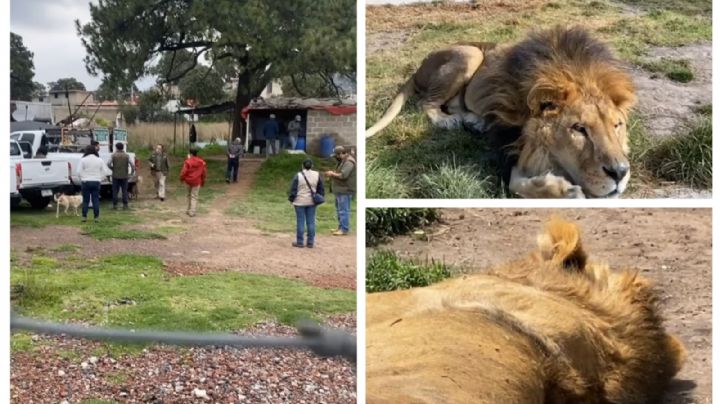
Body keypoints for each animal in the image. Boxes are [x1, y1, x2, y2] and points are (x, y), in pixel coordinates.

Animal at [366, 25, 636, 199]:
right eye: (579, 129)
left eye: (617, 125)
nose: (620, 172)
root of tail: (419, 67)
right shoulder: (508, 141)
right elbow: (516, 184)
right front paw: (565, 191)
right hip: (471, 53)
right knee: (427, 103)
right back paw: (447, 121)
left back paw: (473, 122)